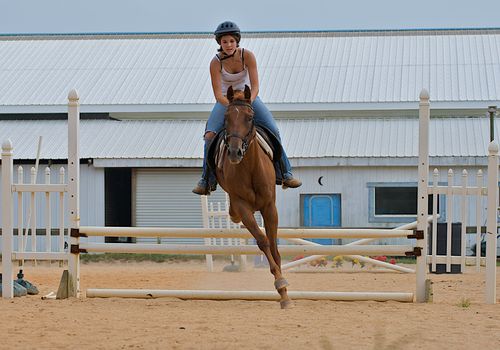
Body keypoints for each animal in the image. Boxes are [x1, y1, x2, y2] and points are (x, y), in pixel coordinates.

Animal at [215, 85, 292, 308]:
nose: (234, 152)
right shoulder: (244, 207)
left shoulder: (270, 207)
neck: (249, 168)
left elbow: (274, 245)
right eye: (226, 117)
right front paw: (280, 284)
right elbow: (262, 241)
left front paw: (285, 294)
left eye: (249, 118)